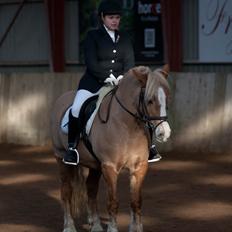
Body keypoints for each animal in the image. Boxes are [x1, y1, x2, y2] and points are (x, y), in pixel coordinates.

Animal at [50, 64, 170, 231]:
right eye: (150, 100)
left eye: (167, 98)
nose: (164, 133)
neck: (127, 126)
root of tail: (62, 98)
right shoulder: (110, 167)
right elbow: (113, 202)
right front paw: (112, 228)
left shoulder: (139, 167)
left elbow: (136, 201)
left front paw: (136, 228)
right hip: (61, 158)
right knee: (66, 191)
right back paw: (69, 227)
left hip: (94, 165)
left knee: (91, 190)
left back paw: (96, 226)